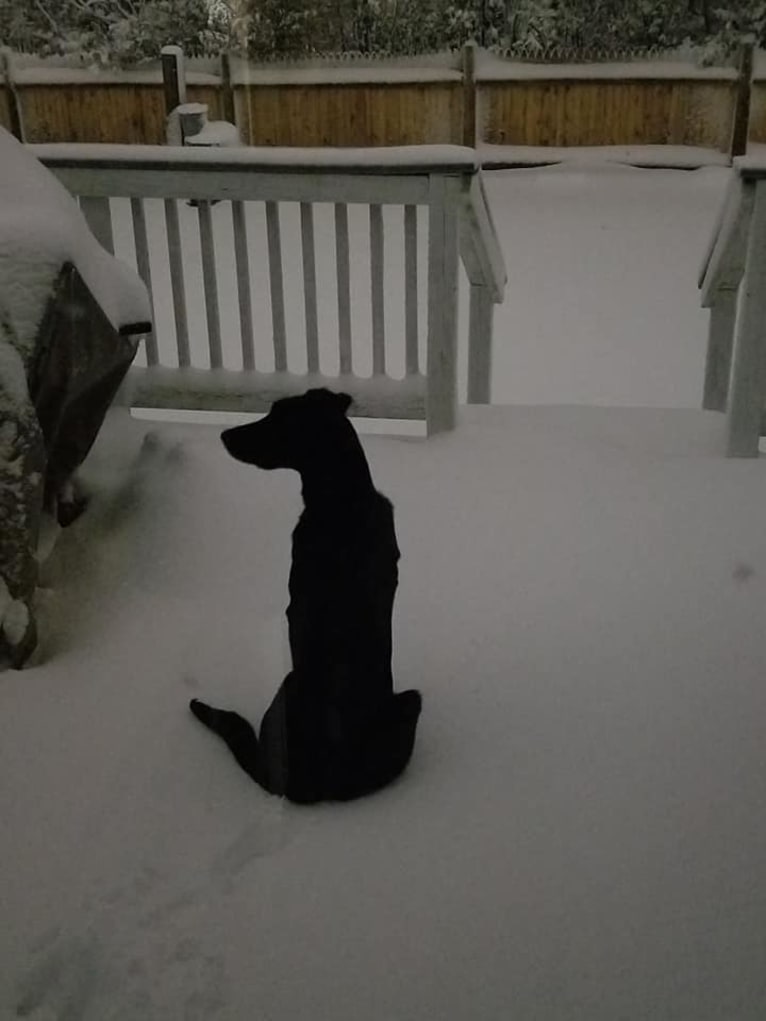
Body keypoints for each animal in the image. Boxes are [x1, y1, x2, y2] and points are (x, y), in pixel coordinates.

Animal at [189, 385, 422, 800]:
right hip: (410, 703)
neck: (344, 499)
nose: (224, 434)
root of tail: (317, 784)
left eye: (276, 417)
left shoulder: (294, 605)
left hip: (287, 689)